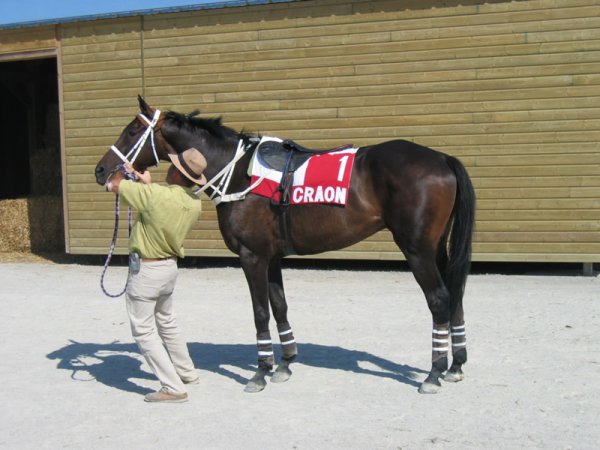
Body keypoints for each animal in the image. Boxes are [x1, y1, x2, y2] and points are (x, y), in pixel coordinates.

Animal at [94, 96, 476, 394]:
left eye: (132, 130)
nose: (101, 171)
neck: (239, 174)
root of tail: (442, 158)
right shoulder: (273, 256)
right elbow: (279, 306)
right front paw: (285, 364)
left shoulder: (252, 257)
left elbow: (260, 311)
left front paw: (261, 371)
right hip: (437, 248)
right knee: (456, 296)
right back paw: (456, 365)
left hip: (417, 250)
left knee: (439, 299)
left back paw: (434, 372)